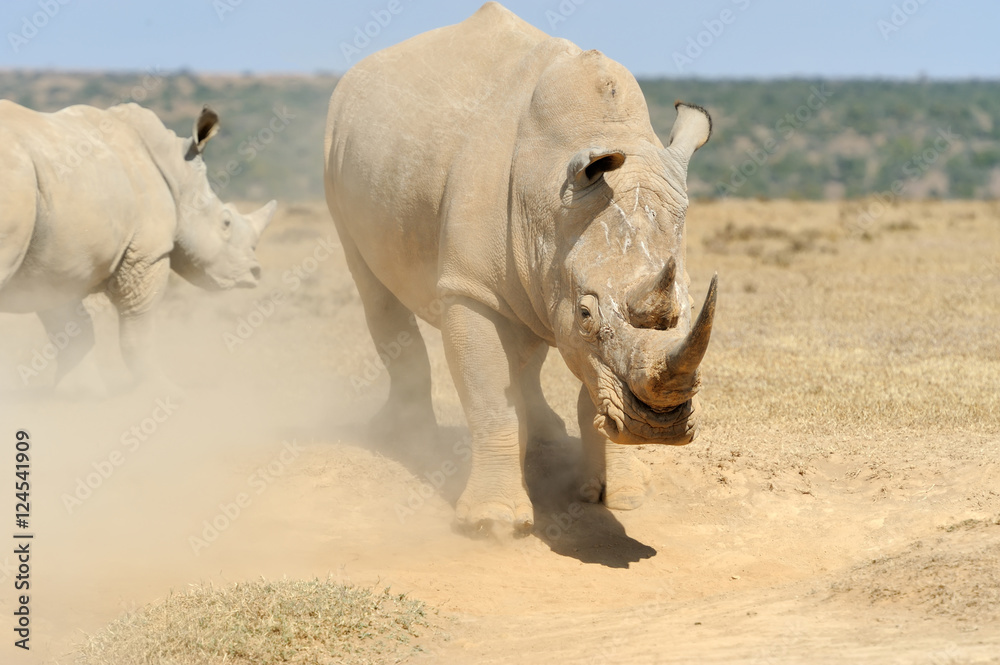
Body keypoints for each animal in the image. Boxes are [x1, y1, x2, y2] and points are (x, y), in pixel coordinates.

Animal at [0, 102, 275, 387]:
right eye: (226, 222)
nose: (255, 272)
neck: (177, 171)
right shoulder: (147, 254)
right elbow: (138, 327)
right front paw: (162, 388)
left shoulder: (56, 262)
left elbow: (70, 328)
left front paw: (80, 391)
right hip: (15, 180)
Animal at [324, 2, 716, 534]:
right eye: (587, 315)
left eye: (690, 308)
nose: (659, 427)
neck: (549, 197)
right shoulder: (469, 289)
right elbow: (492, 396)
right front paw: (492, 525)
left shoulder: (563, 268)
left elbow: (585, 380)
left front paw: (623, 497)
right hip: (335, 154)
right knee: (375, 289)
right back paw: (407, 438)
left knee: (528, 331)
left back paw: (545, 435)